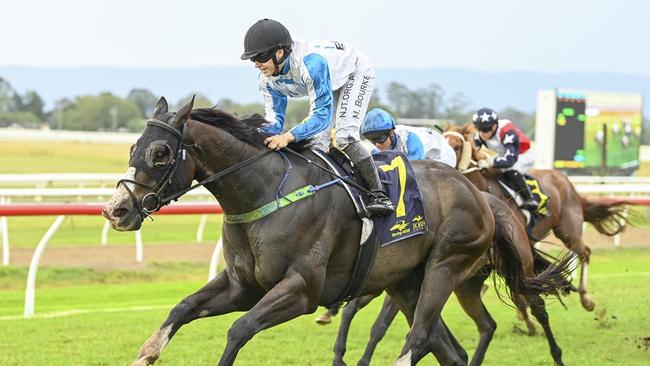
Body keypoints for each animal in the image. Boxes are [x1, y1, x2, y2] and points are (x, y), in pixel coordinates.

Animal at [102, 98, 568, 366]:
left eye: (161, 152)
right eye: (133, 147)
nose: (116, 210)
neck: (264, 193)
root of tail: (479, 193)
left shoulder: (301, 290)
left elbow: (239, 330)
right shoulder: (242, 285)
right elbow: (181, 309)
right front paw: (145, 355)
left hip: (446, 265)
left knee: (419, 338)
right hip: (405, 283)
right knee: (448, 350)